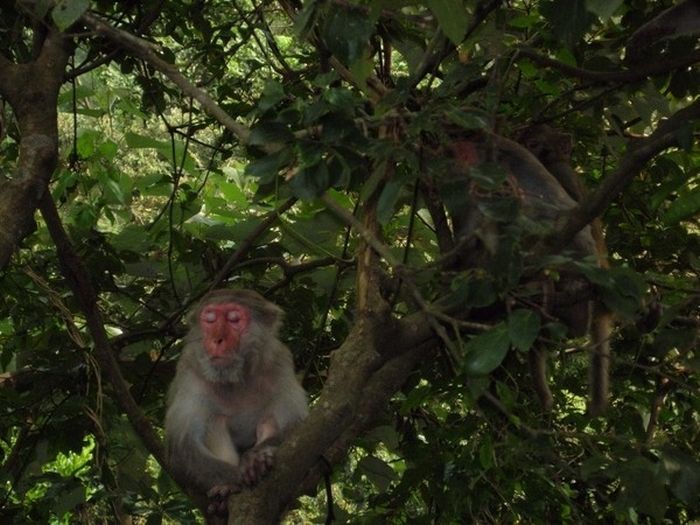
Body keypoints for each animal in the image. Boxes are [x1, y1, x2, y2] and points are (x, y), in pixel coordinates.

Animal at [165, 286, 308, 512]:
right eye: (210, 320)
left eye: (234, 320)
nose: (217, 340)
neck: (236, 377)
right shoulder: (189, 370)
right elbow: (183, 447)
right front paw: (235, 481)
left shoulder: (279, 361)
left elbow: (297, 427)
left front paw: (255, 460)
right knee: (214, 420)